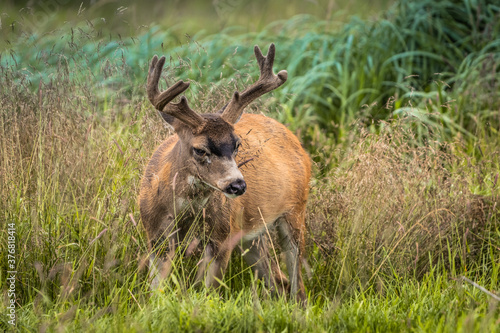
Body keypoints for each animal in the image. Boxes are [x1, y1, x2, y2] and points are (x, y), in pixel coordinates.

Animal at [141, 43, 310, 300]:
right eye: (200, 149)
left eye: (237, 144)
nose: (237, 185)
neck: (183, 211)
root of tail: (297, 142)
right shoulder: (155, 235)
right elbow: (156, 290)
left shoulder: (222, 236)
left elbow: (208, 291)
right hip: (252, 233)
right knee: (277, 280)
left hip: (295, 210)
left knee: (297, 284)